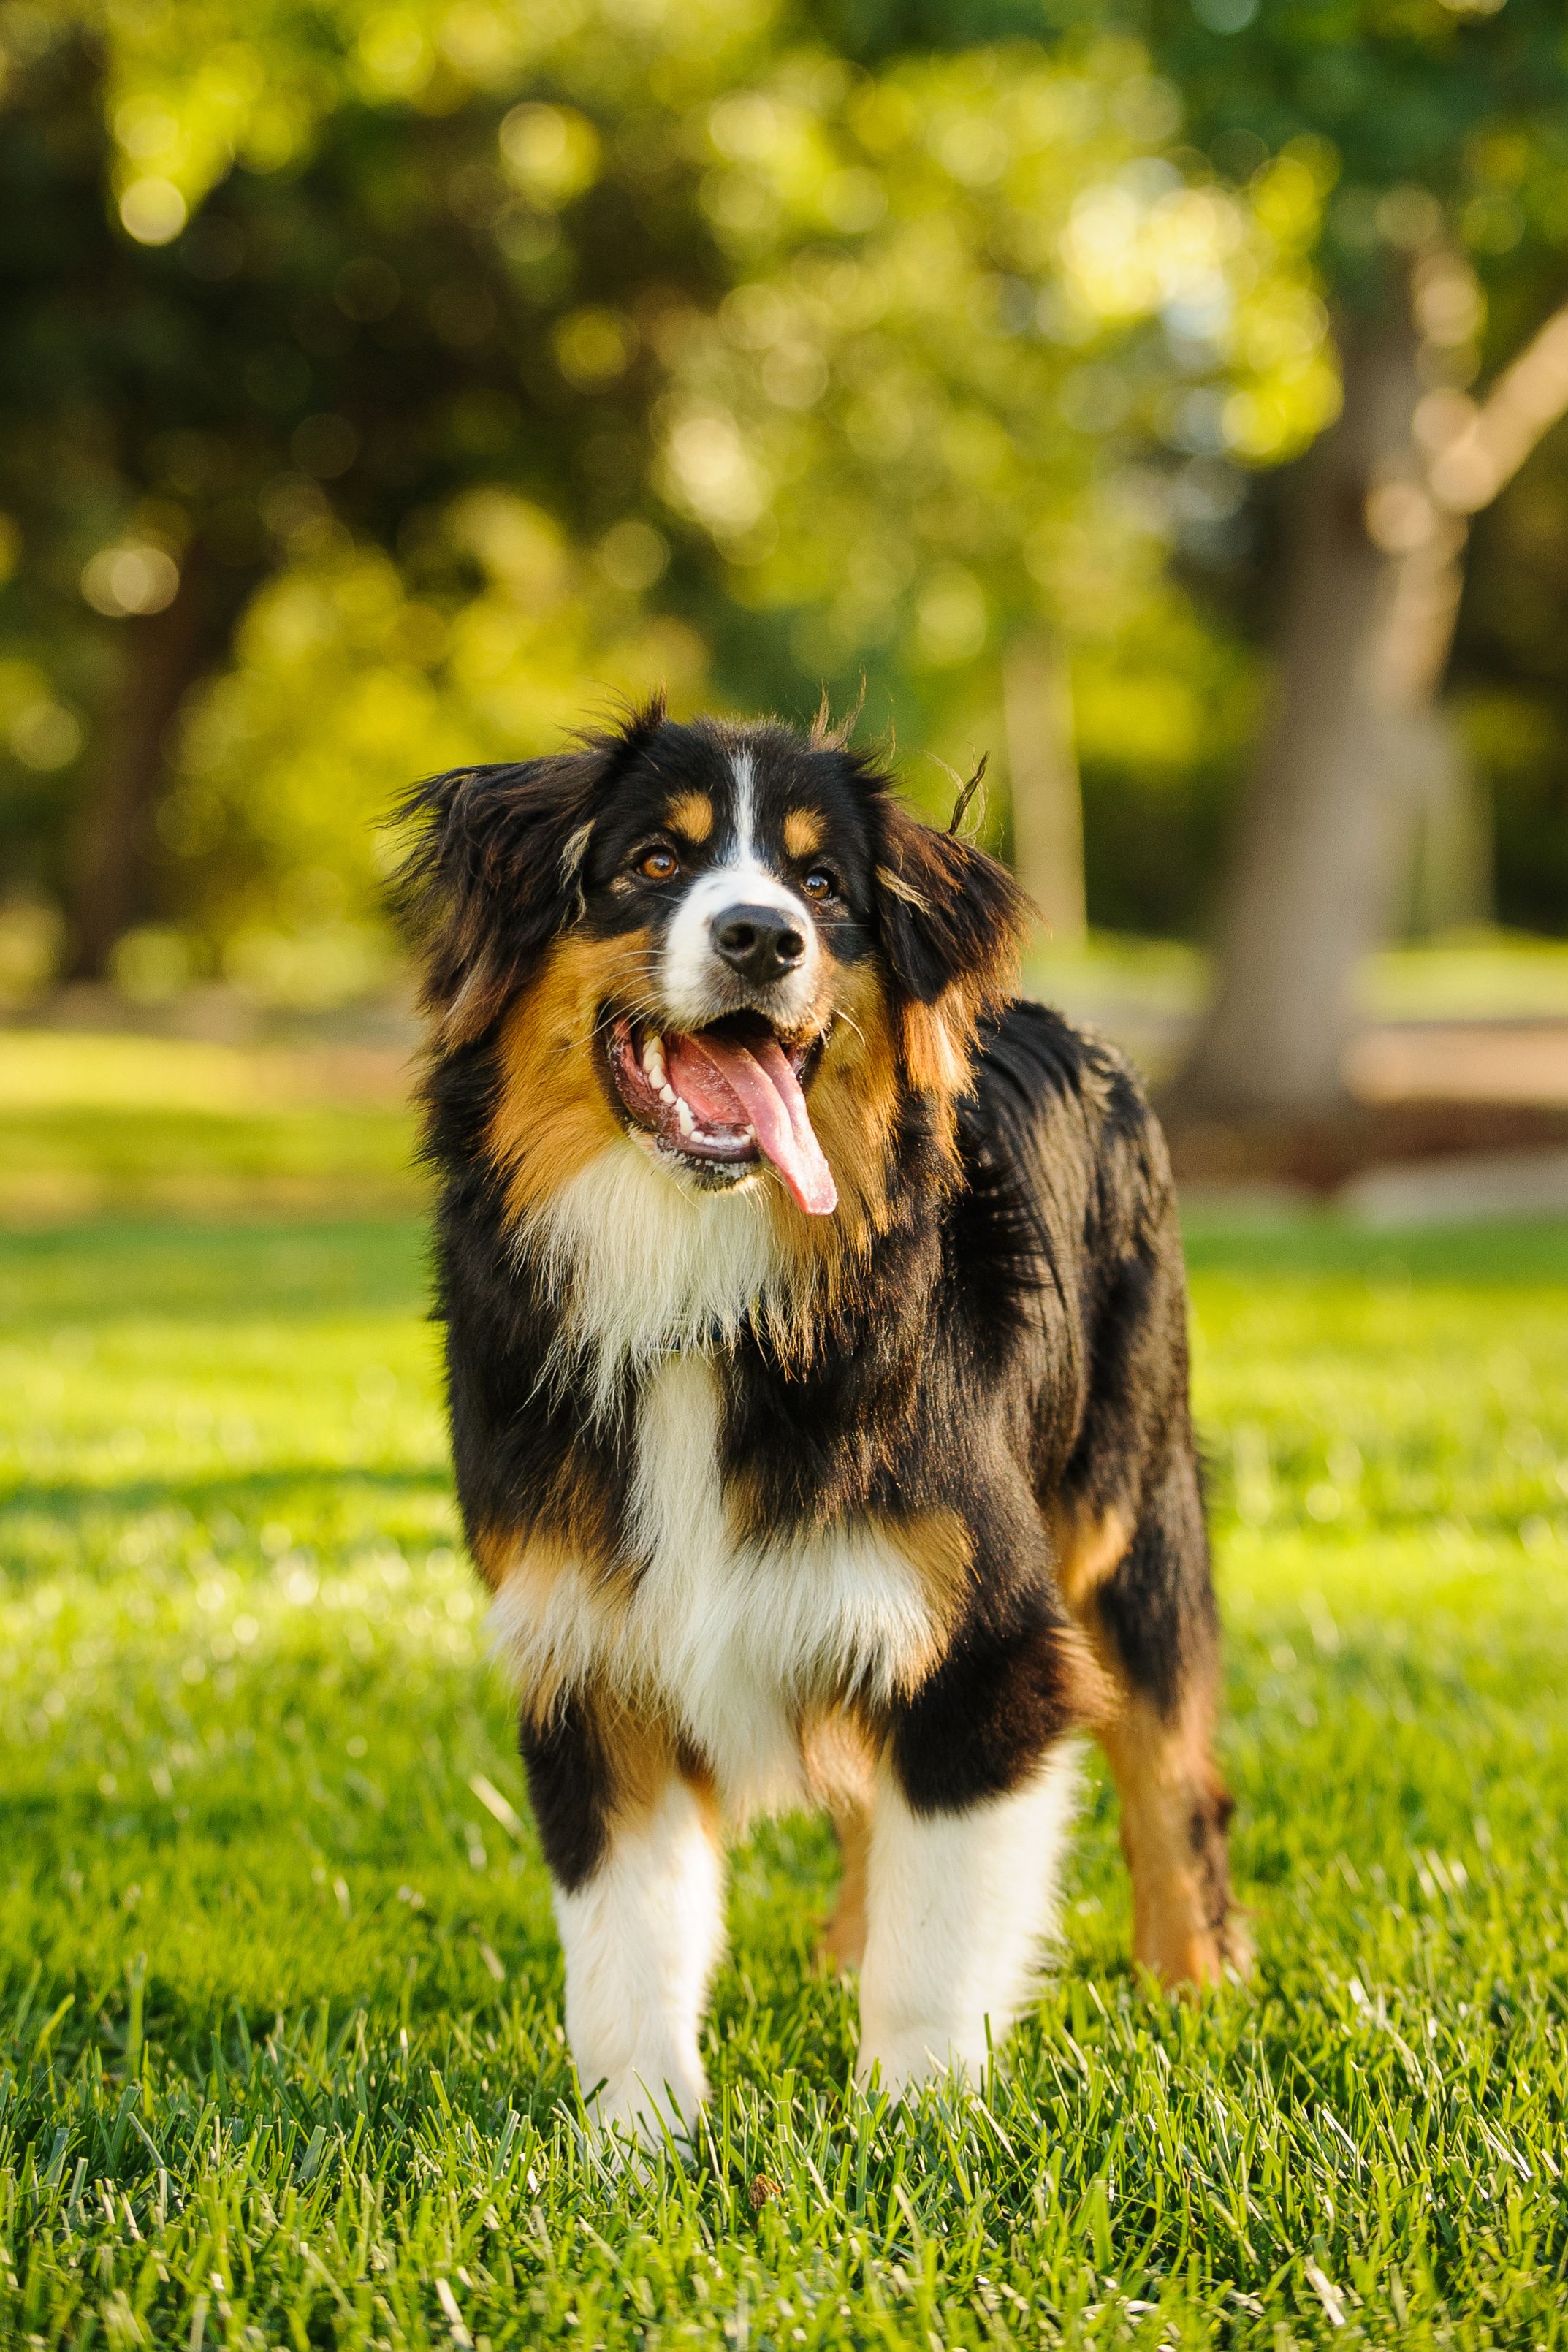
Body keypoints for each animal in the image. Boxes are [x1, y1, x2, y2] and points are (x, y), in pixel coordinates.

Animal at [399, 701, 1241, 2154]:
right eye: (650, 862)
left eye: (824, 884)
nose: (762, 937)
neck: (706, 1287)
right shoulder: (590, 1646)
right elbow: (626, 1940)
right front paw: (633, 2146)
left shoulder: (985, 1635)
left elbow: (943, 1930)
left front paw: (922, 2125)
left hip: (1126, 1506)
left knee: (1168, 1763)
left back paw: (1196, 1983)